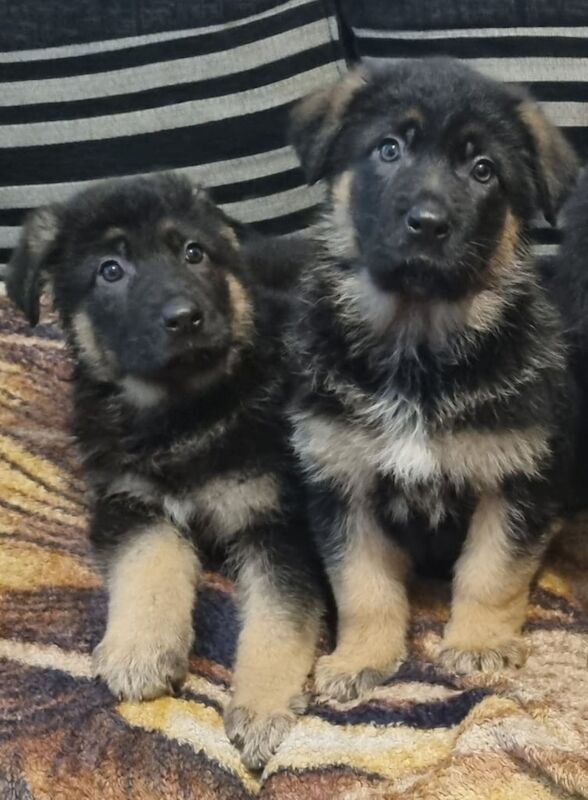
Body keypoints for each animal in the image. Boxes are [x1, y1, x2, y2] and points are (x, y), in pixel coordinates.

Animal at [4, 175, 324, 768]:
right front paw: (140, 650)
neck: (182, 416)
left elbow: (278, 618)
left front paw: (263, 706)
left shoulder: (278, 521)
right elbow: (150, 560)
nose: (184, 318)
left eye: (193, 253)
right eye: (110, 269)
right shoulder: (128, 502)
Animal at [290, 57, 580, 700]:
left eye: (483, 169)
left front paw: (478, 644)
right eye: (389, 148)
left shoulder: (515, 480)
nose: (427, 224)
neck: (417, 348)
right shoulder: (340, 482)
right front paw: (361, 658)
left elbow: (491, 571)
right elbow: (362, 585)